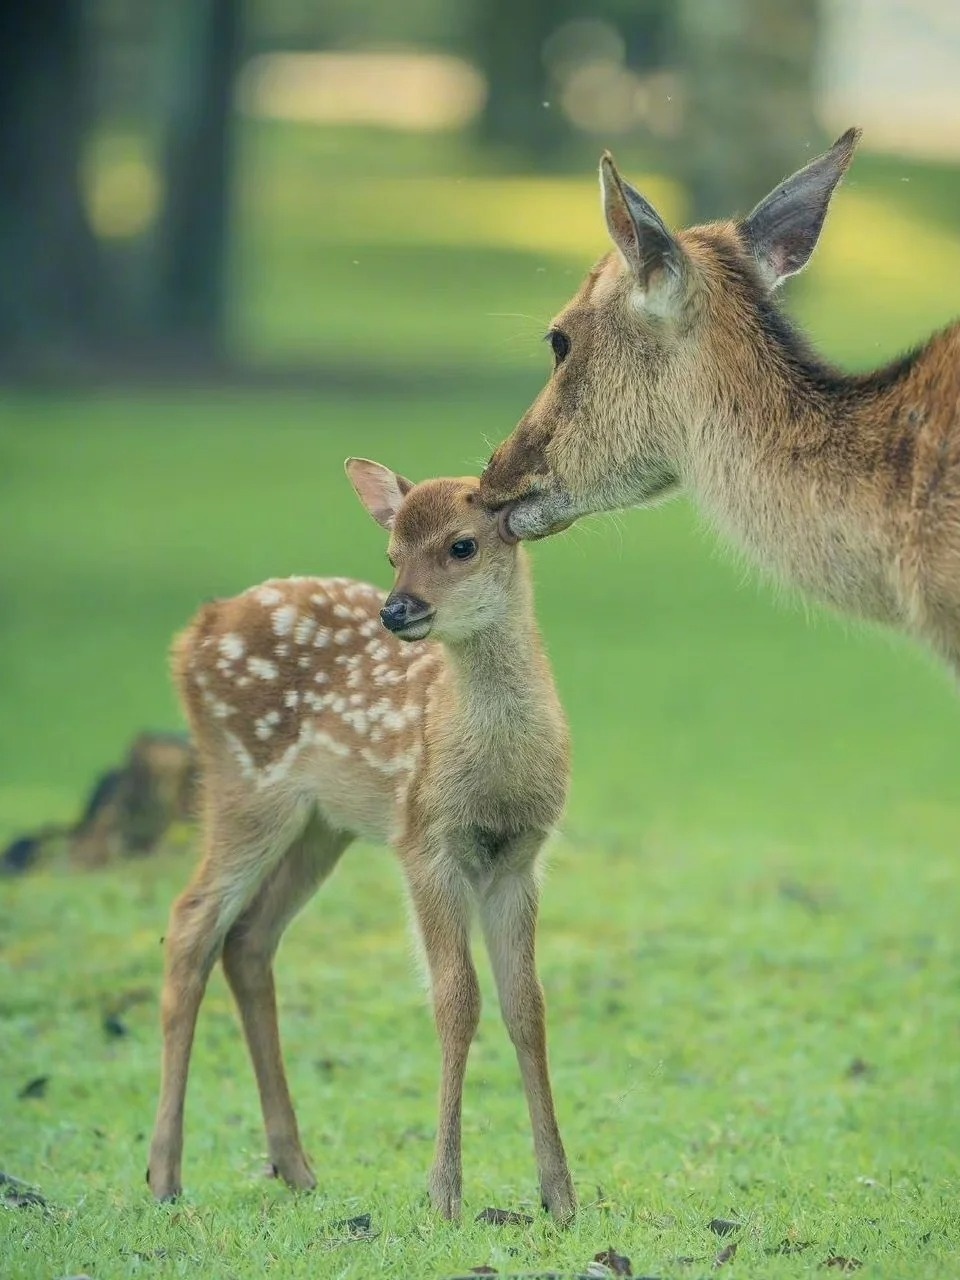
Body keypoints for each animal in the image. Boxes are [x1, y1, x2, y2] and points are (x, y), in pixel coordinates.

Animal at [145, 465, 576, 1223]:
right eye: (392, 552)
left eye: (462, 545)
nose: (396, 610)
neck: (494, 768)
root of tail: (195, 631)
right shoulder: (425, 840)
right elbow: (456, 999)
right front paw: (444, 1194)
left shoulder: (519, 858)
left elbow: (527, 1004)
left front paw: (560, 1195)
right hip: (244, 784)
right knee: (192, 922)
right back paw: (164, 1176)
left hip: (321, 826)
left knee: (248, 939)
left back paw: (295, 1168)